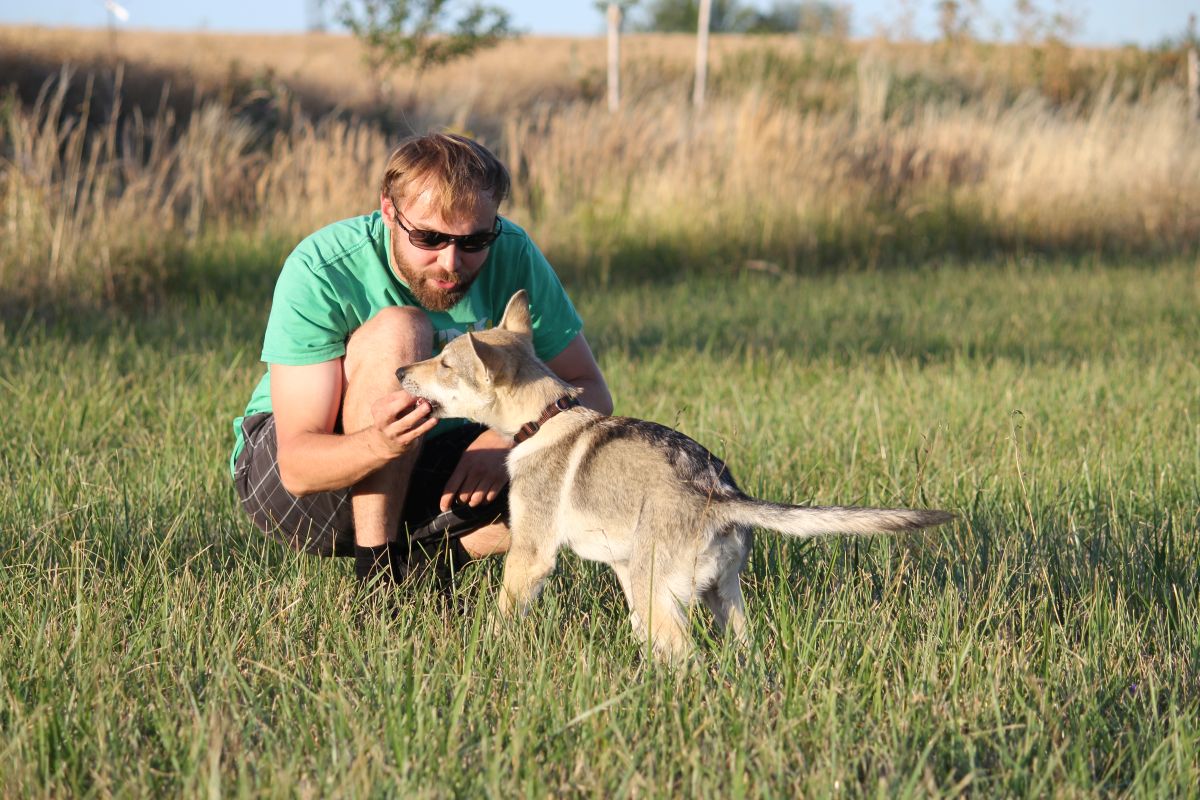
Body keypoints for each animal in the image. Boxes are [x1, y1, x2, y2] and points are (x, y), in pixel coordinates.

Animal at [398, 291, 950, 662]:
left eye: (444, 363)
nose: (402, 372)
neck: (545, 418)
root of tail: (718, 495)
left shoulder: (532, 555)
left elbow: (501, 617)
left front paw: (482, 651)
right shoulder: (623, 565)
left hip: (666, 598)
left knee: (690, 663)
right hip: (721, 597)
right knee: (735, 652)